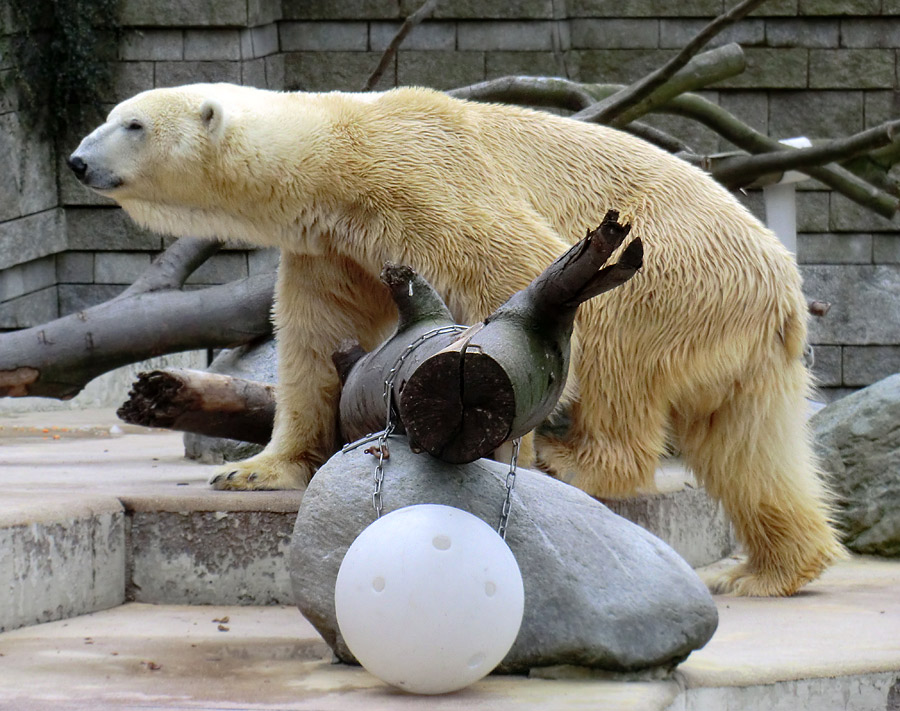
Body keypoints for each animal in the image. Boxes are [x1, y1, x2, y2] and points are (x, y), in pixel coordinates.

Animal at [68, 82, 844, 596]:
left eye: (131, 123)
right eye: (109, 117)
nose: (77, 161)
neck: (337, 145)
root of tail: (785, 288)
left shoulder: (421, 175)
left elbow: (516, 257)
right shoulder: (331, 247)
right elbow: (316, 341)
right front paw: (254, 469)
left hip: (673, 275)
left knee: (622, 354)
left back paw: (578, 462)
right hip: (739, 337)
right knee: (748, 443)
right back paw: (768, 570)